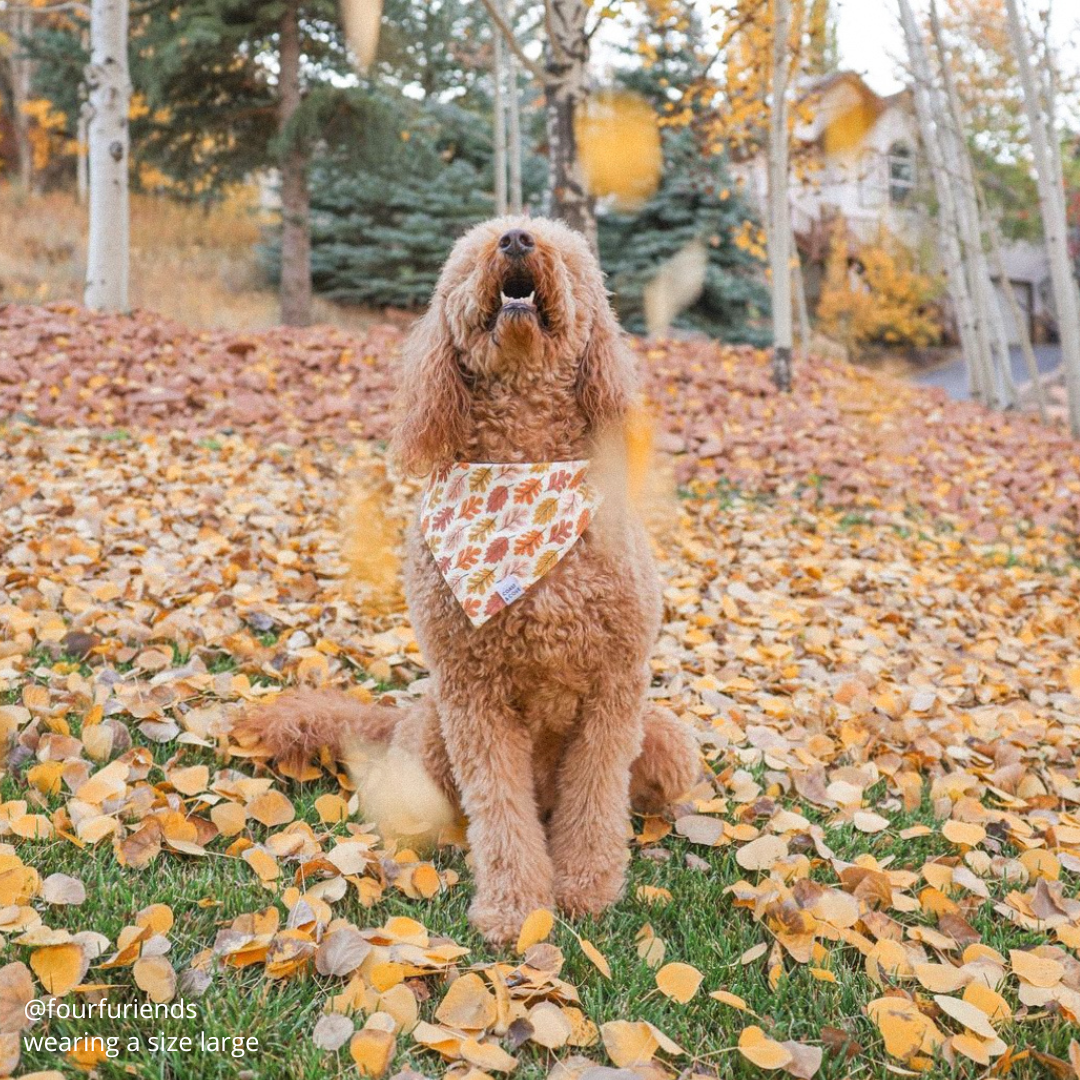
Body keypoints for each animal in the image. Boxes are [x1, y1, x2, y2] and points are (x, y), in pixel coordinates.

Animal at [243, 214, 699, 941]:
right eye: (473, 254)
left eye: (563, 252)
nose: (515, 239)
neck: (522, 472)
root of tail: (396, 721)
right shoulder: (474, 696)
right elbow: (500, 812)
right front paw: (516, 909)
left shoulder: (615, 688)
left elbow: (596, 799)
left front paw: (585, 888)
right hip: (433, 736)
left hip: (669, 738)